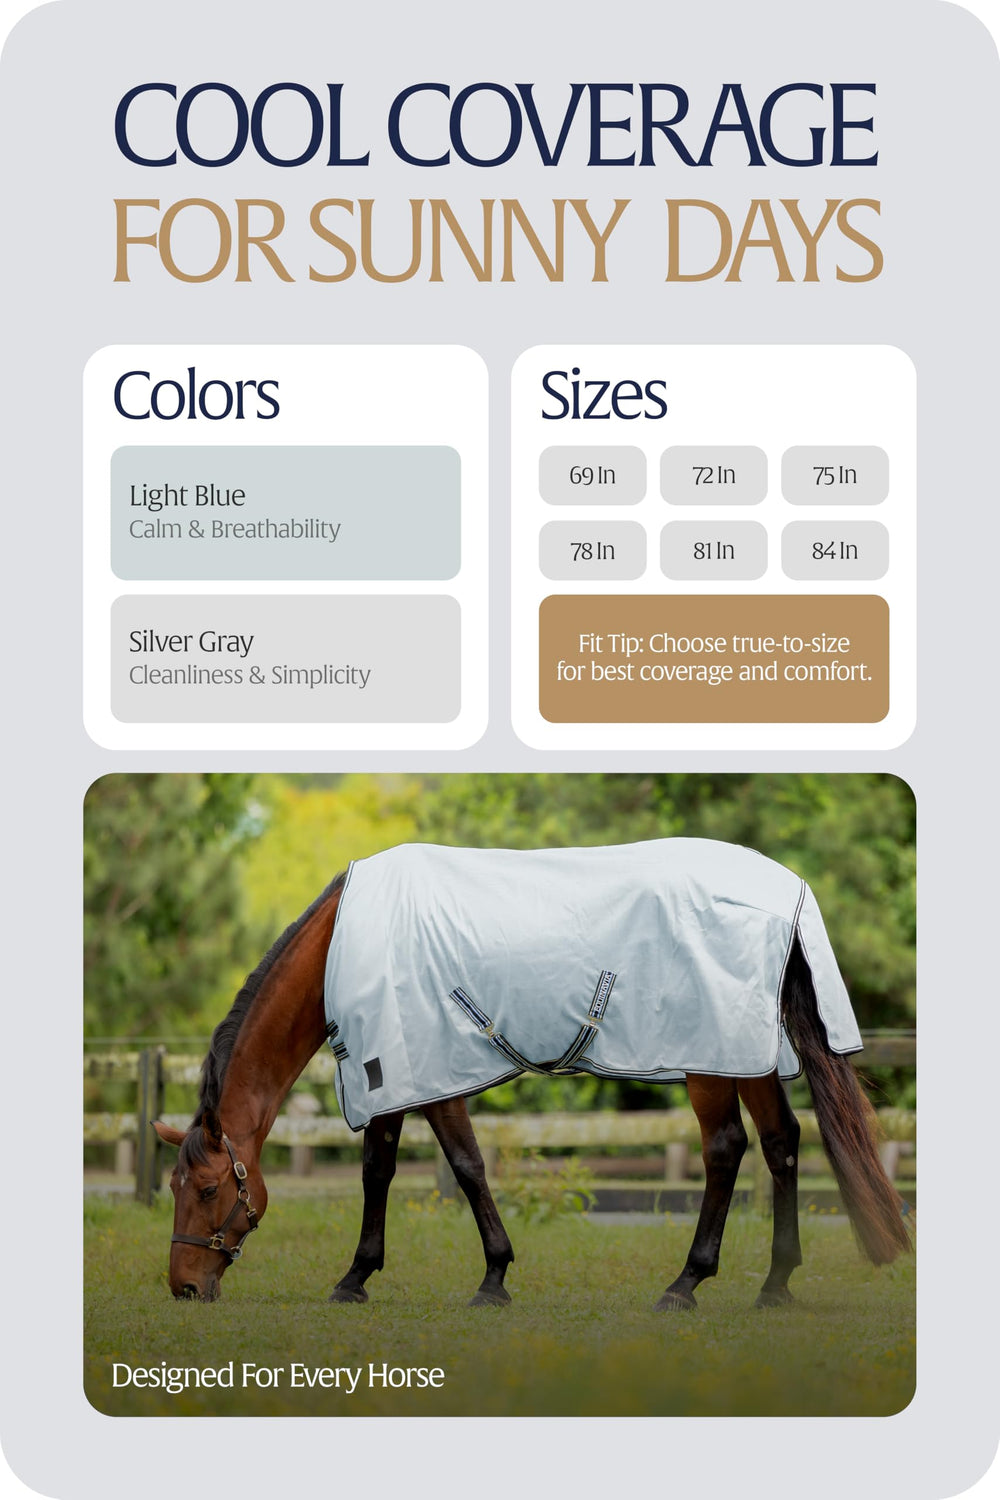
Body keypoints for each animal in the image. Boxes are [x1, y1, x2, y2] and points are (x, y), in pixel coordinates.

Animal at [153, 839, 910, 1309]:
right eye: (174, 1188)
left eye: (211, 1188)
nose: (183, 1285)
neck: (346, 943)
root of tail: (786, 892)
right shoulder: (410, 1072)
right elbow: (417, 1167)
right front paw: (425, 1274)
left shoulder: (417, 1071)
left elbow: (442, 1168)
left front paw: (430, 1276)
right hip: (748, 1053)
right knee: (782, 1145)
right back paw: (775, 1283)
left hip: (709, 1060)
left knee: (726, 1151)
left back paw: (685, 1284)